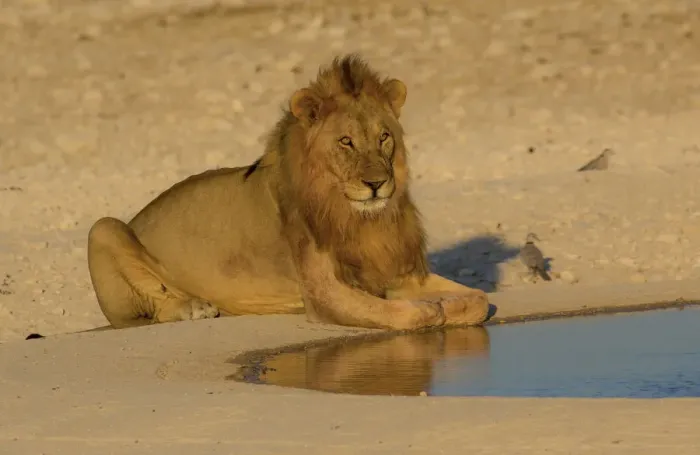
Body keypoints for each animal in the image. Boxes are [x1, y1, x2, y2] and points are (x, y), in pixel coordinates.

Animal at [86, 54, 490, 331]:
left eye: (384, 137)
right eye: (346, 141)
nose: (376, 184)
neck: (358, 217)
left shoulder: (396, 272)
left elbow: (480, 300)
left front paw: (454, 306)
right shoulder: (324, 294)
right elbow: (403, 314)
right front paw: (432, 310)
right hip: (103, 228)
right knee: (144, 314)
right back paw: (193, 307)